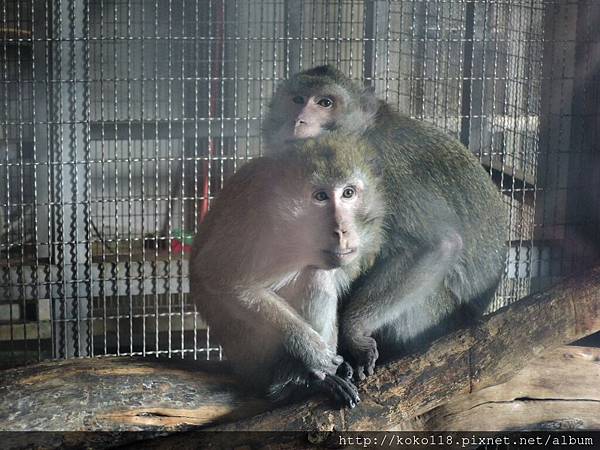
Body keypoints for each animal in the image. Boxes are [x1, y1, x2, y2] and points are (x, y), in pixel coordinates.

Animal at [189, 134, 384, 408]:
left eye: (348, 193)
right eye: (321, 196)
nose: (341, 230)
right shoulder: (261, 222)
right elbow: (219, 276)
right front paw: (312, 351)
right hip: (254, 359)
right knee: (315, 273)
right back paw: (300, 382)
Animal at [262, 64, 506, 380]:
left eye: (325, 102)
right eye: (297, 99)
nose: (298, 120)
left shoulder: (379, 170)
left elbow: (436, 244)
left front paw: (354, 334)